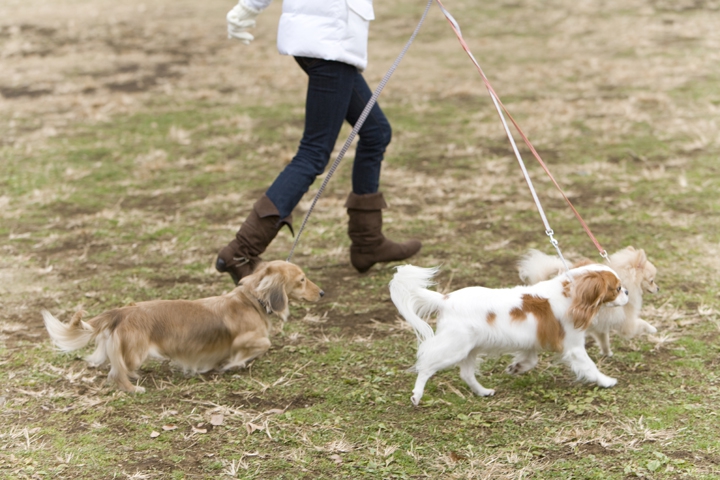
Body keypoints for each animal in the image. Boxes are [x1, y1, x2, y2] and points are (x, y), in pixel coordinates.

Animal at [43, 260, 324, 392]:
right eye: (302, 280)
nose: (322, 293)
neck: (252, 300)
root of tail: (123, 311)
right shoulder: (243, 339)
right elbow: (263, 343)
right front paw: (233, 363)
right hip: (136, 353)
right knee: (116, 373)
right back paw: (133, 388)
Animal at [516, 248, 660, 356]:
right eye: (652, 280)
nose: (658, 288)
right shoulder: (627, 325)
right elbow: (641, 323)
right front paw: (652, 329)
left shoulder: (601, 325)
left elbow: (604, 339)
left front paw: (607, 353)